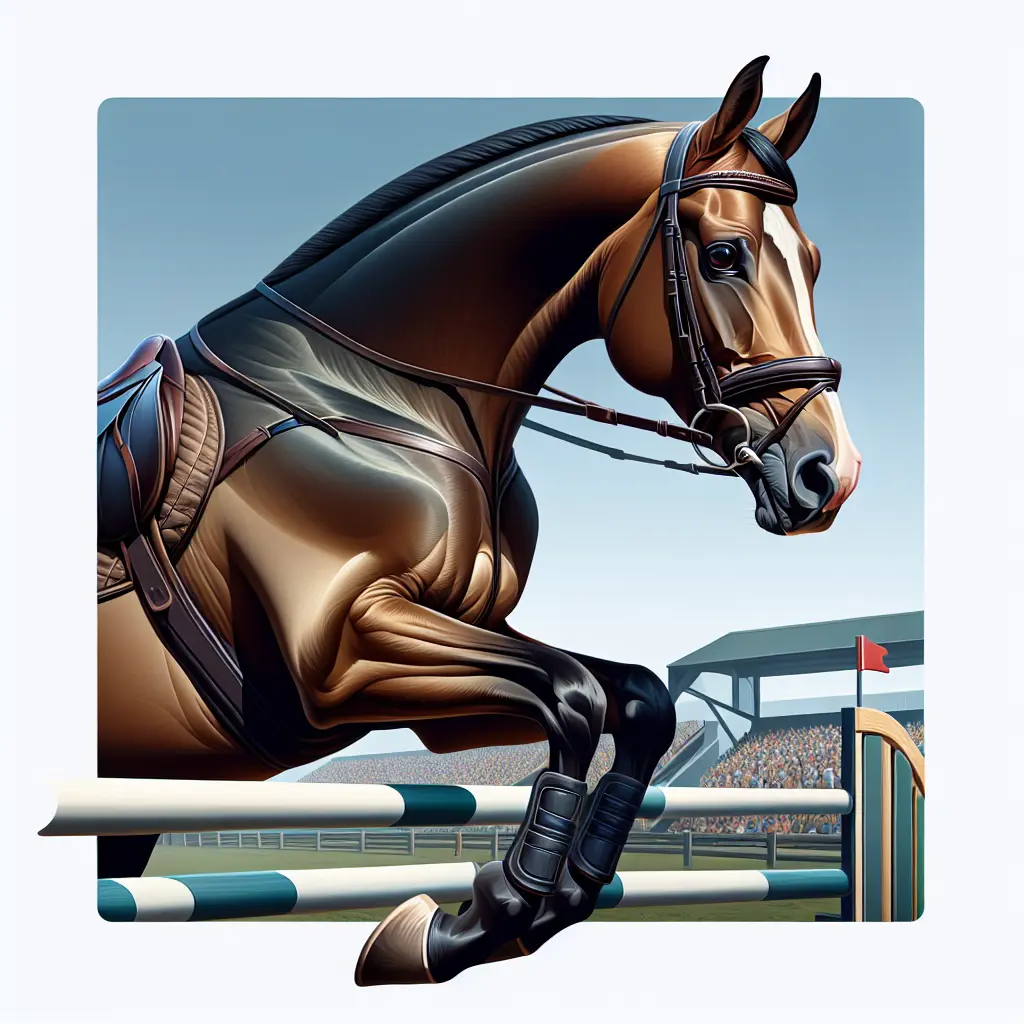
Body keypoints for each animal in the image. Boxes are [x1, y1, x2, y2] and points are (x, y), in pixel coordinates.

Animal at [96, 55, 861, 985]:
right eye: (724, 254)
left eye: (814, 262)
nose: (829, 475)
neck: (374, 395)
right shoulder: (339, 658)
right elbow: (574, 698)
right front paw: (468, 920)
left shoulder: (444, 678)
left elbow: (636, 699)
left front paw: (538, 902)